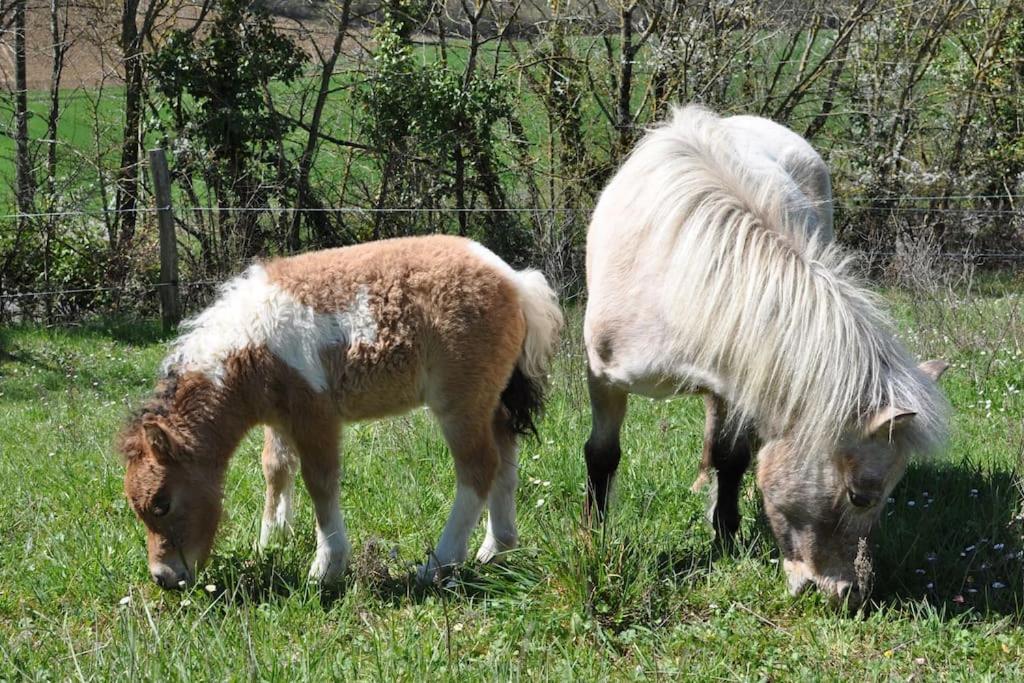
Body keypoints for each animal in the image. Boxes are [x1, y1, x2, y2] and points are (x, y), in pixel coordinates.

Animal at [121, 235, 569, 589]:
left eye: (162, 503)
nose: (165, 578)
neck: (250, 348)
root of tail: (514, 280)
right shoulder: (279, 418)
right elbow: (275, 468)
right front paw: (270, 541)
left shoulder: (314, 415)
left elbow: (319, 482)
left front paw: (327, 567)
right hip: (492, 399)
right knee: (505, 457)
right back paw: (496, 550)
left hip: (460, 402)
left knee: (479, 467)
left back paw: (438, 565)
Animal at [585, 104, 950, 606]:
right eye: (860, 495)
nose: (849, 595)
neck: (670, 278)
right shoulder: (603, 375)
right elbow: (602, 454)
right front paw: (593, 537)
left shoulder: (738, 378)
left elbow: (731, 459)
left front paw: (725, 536)